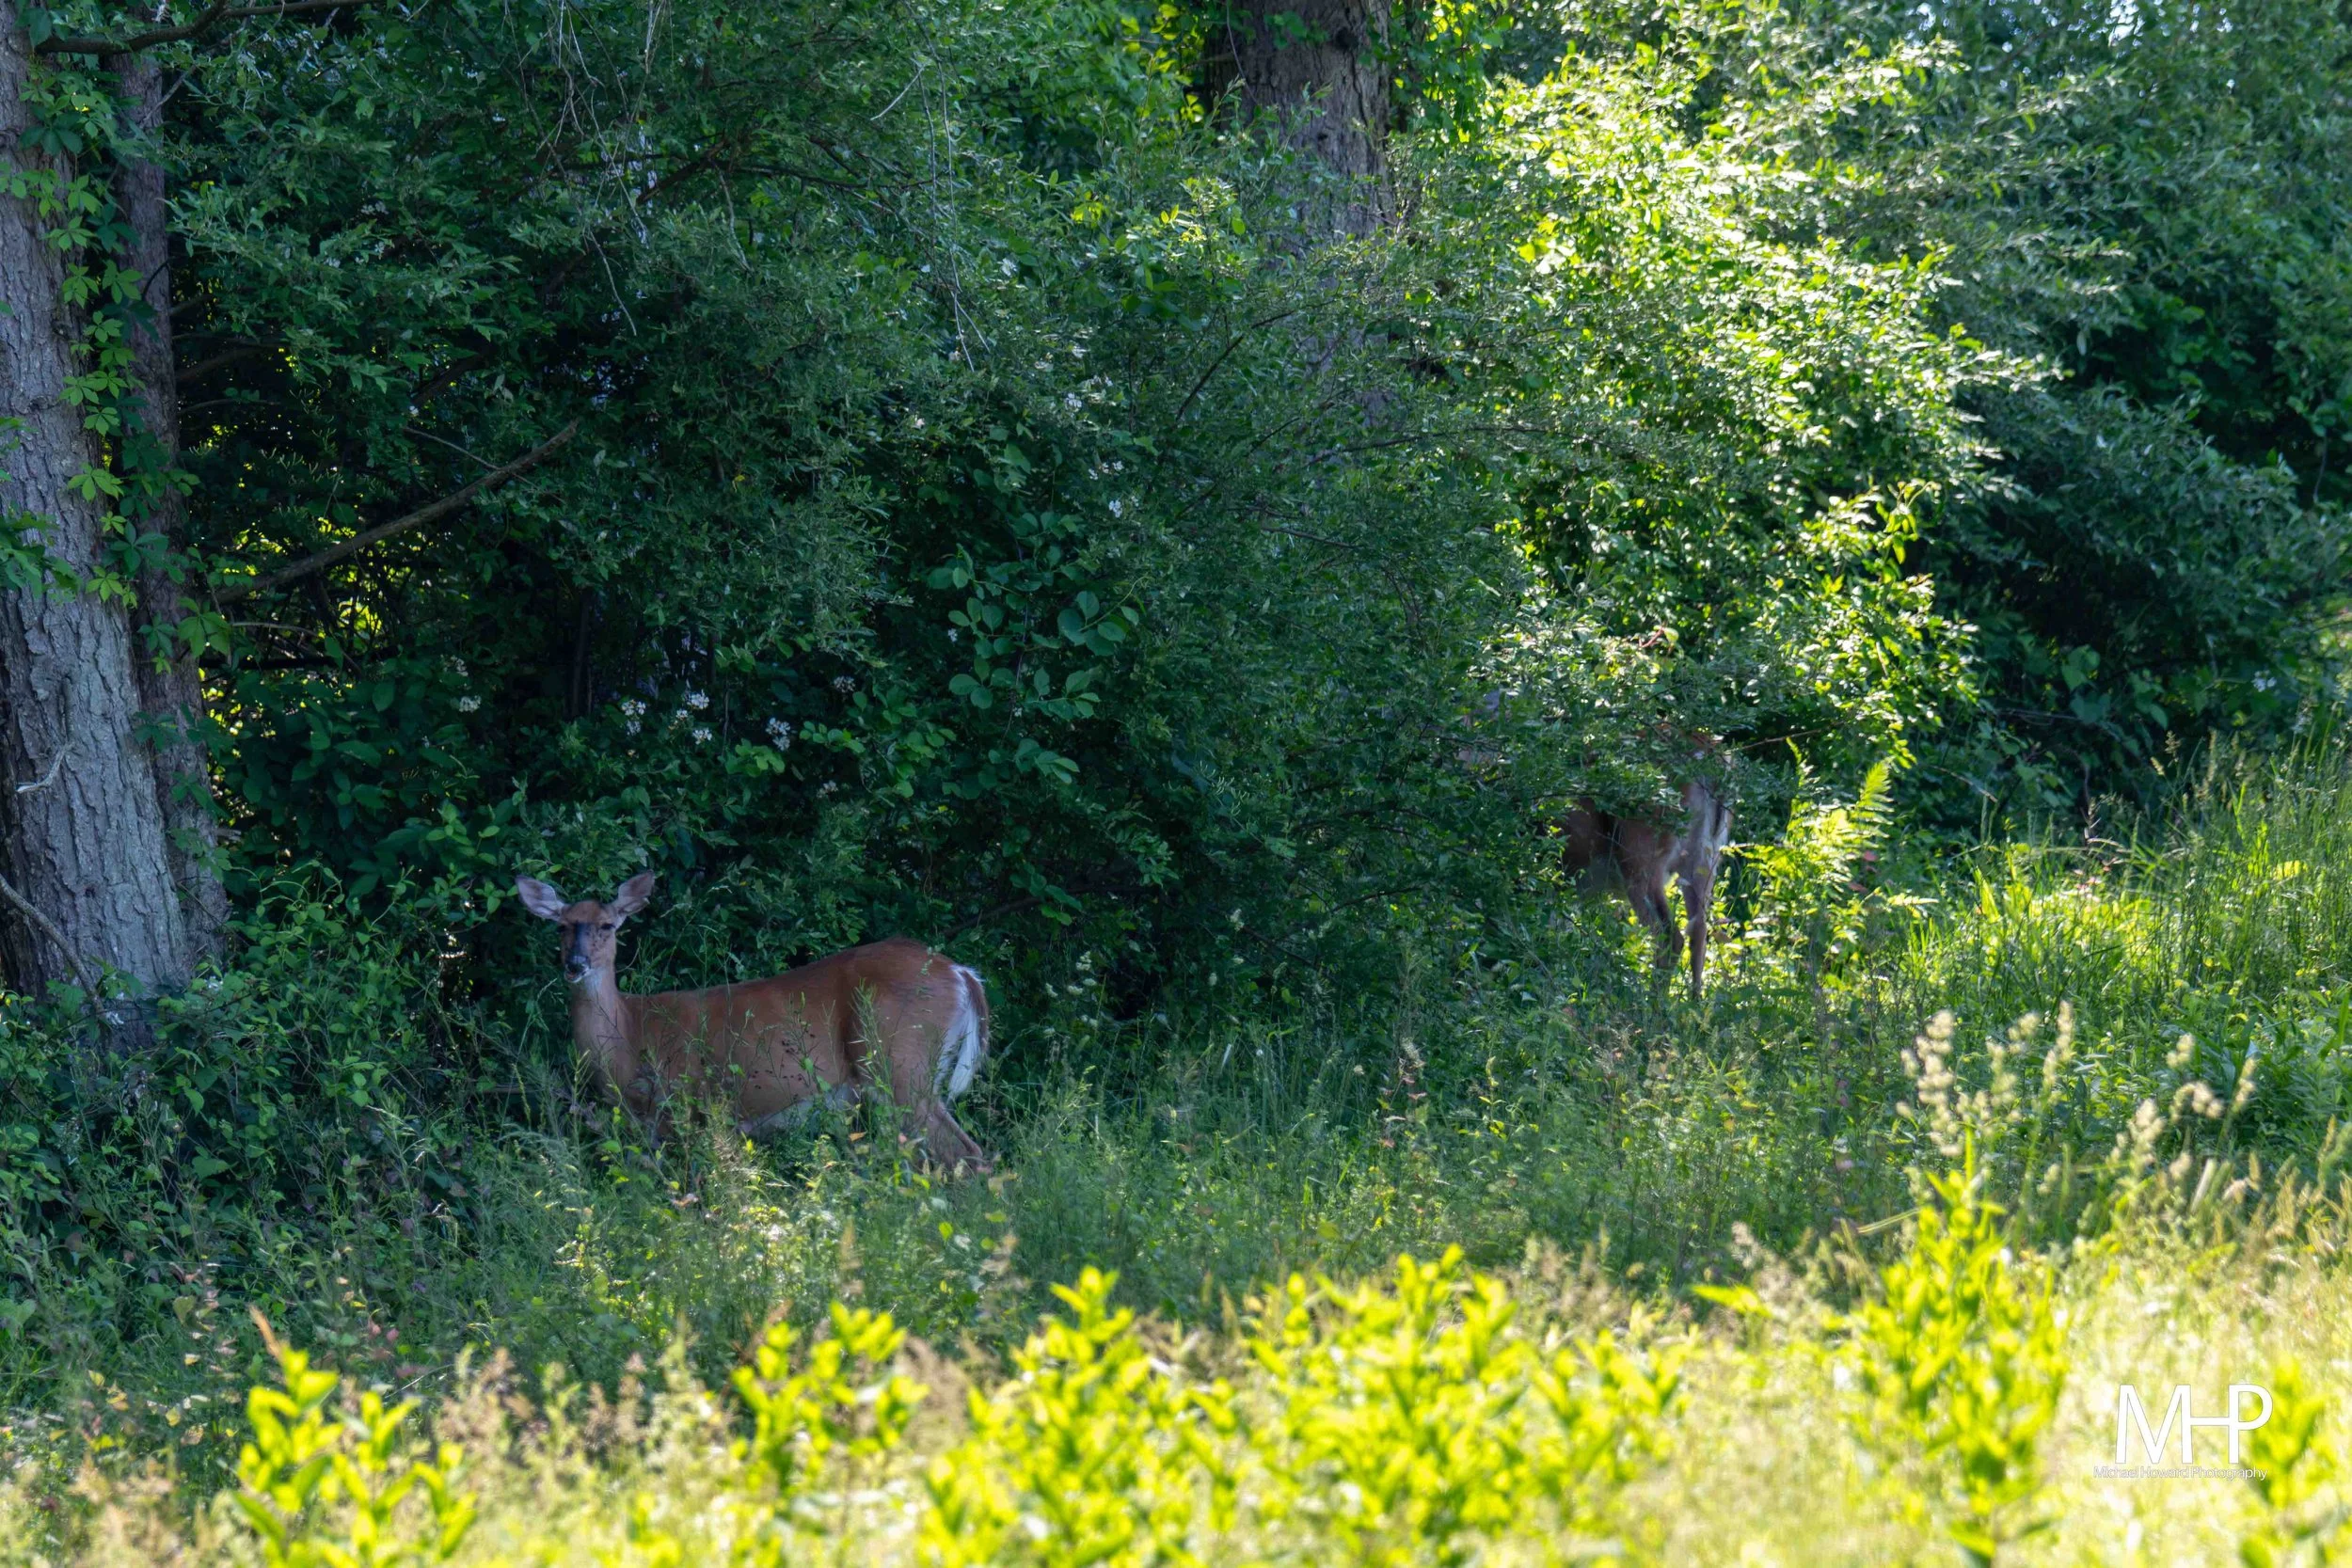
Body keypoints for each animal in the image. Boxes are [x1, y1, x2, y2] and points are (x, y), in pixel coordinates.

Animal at [514, 872, 992, 1170]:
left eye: (608, 925)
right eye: (561, 927)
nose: (575, 965)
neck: (630, 1036)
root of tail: (962, 974)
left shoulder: (687, 1107)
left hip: (901, 1064)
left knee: (969, 1157)